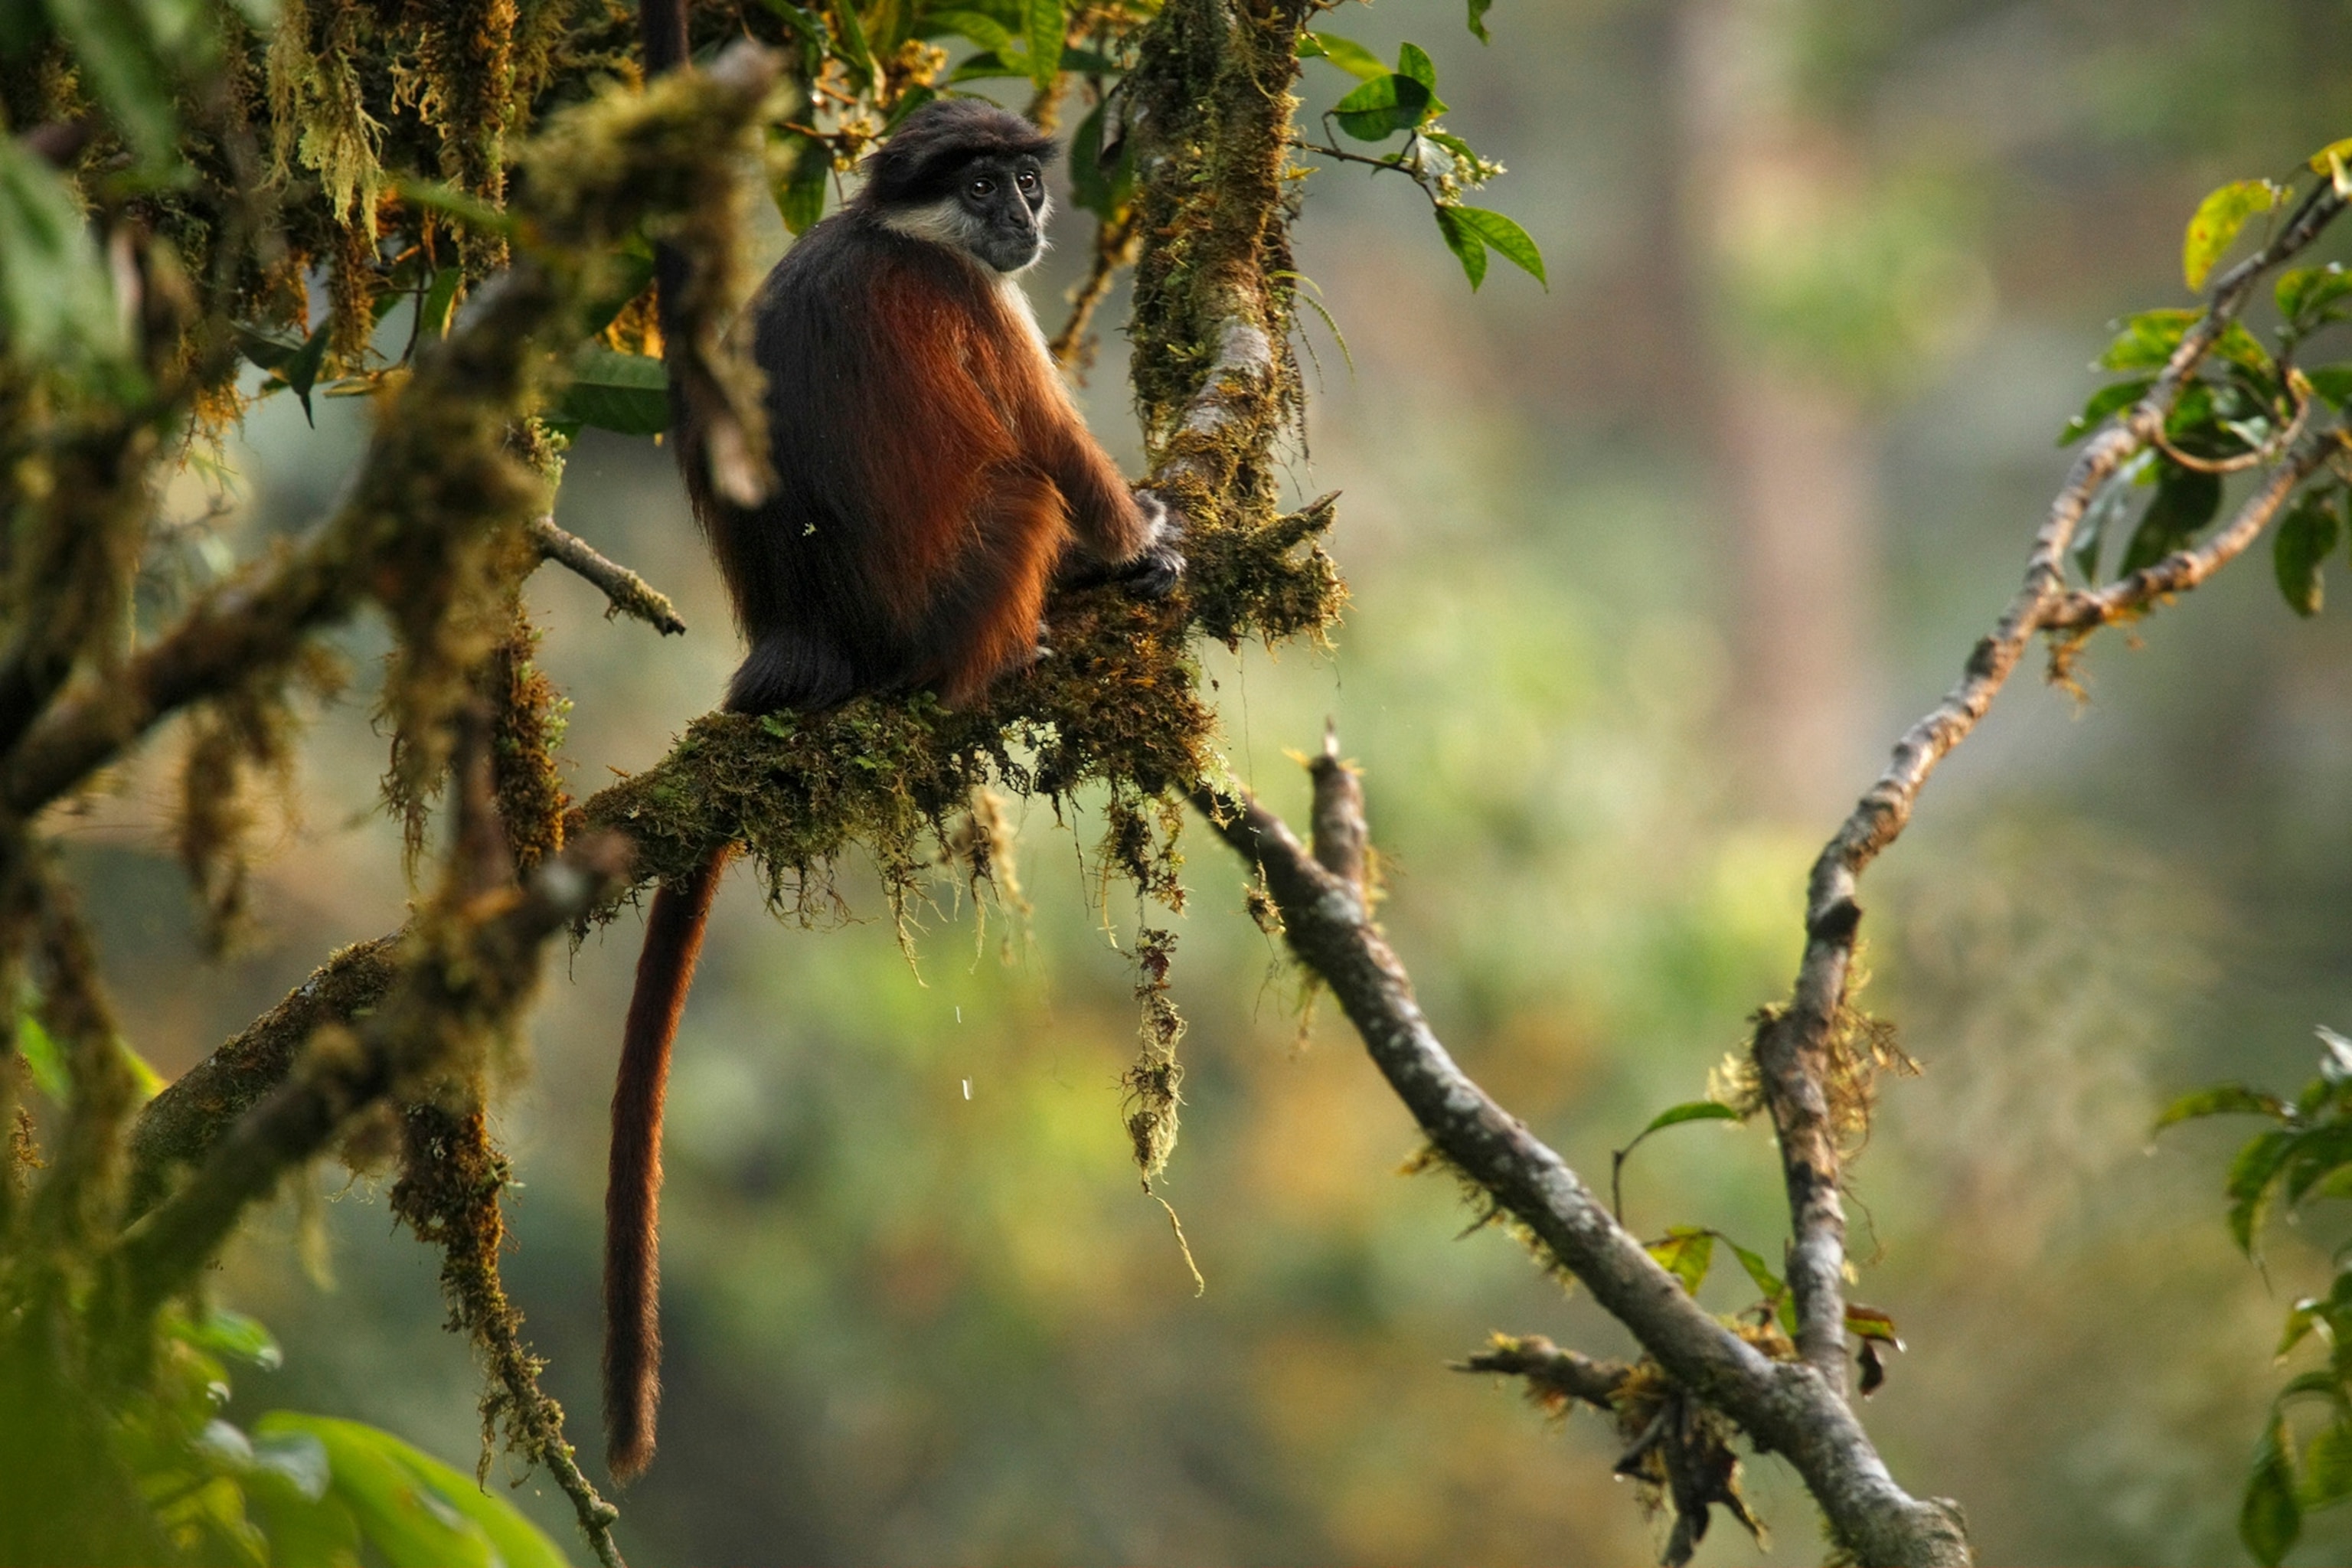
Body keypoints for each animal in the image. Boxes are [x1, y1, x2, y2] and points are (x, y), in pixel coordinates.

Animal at [601, 73, 1185, 1481]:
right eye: (978, 185)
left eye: (1020, 179)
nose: (1024, 213)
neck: (901, 230)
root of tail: (810, 640)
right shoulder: (976, 298)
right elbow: (1055, 446)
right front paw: (1140, 546)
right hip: (963, 592)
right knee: (1023, 482)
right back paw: (1029, 636)